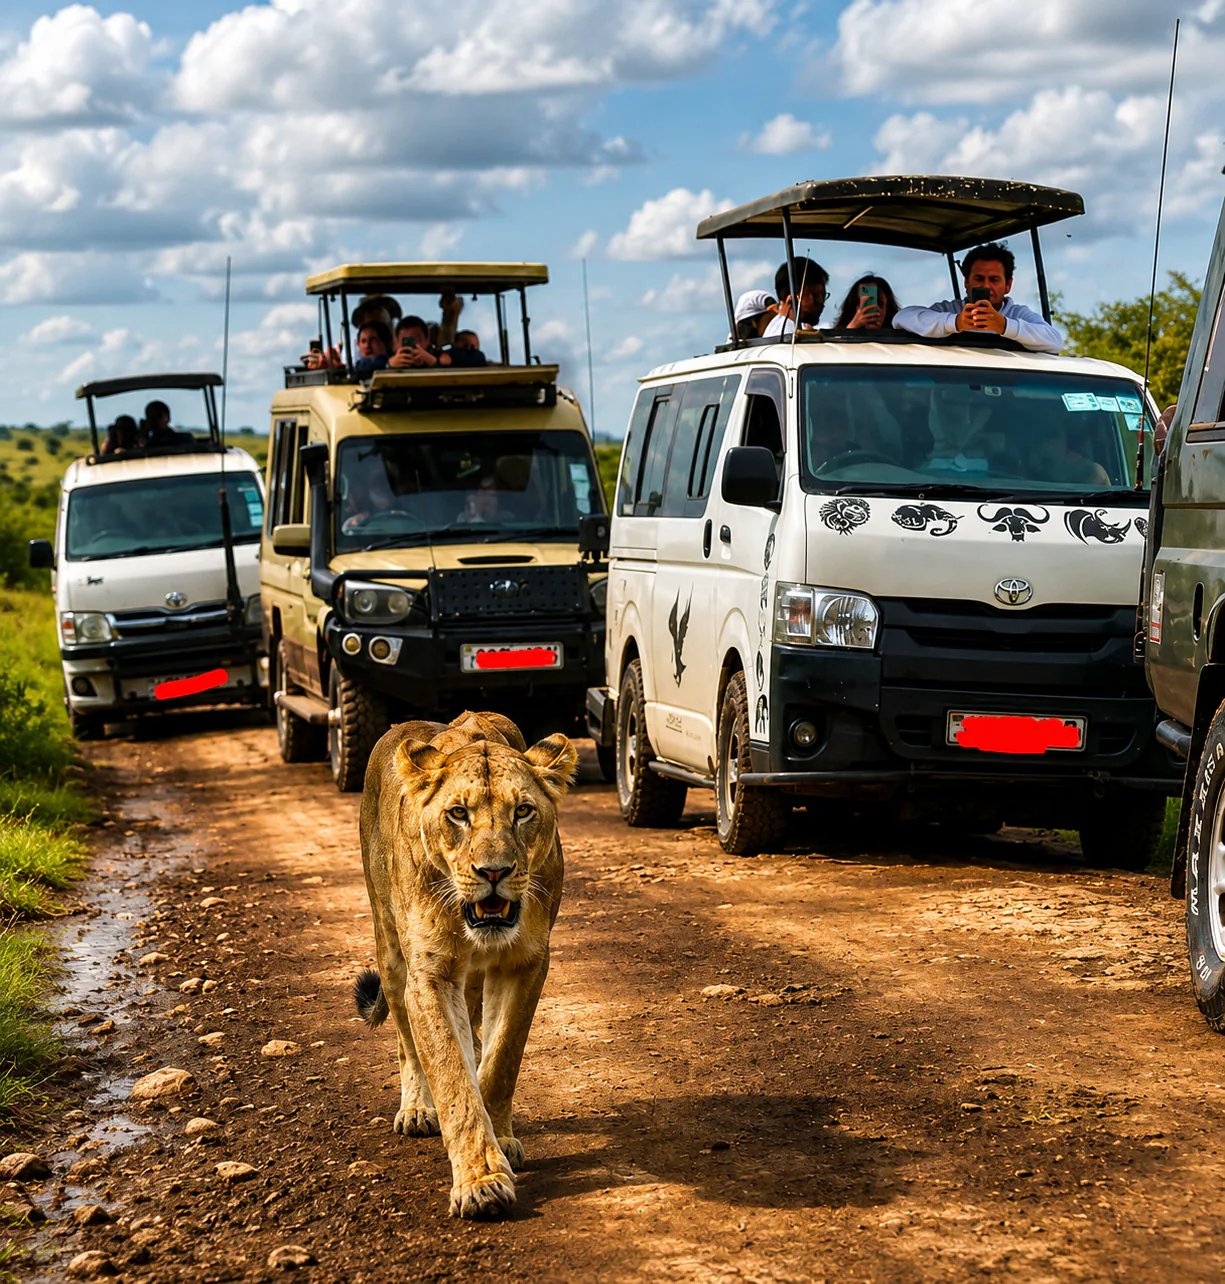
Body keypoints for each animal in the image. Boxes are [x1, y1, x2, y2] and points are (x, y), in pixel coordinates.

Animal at [353, 710, 577, 1220]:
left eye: (523, 811)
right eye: (458, 814)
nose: (493, 872)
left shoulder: (527, 962)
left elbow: (501, 1059)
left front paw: (501, 1140)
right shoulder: (429, 975)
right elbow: (451, 1074)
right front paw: (481, 1181)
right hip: (390, 952)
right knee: (408, 1043)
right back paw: (417, 1109)